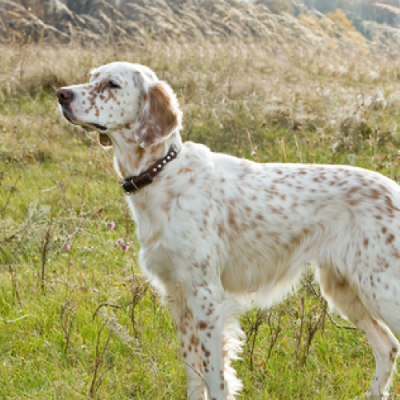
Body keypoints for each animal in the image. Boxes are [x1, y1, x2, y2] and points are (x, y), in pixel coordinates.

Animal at [57, 61, 400, 398]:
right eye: (92, 77)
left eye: (112, 84)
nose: (61, 94)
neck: (163, 174)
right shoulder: (178, 295)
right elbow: (193, 372)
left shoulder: (207, 295)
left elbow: (214, 375)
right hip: (344, 289)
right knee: (387, 346)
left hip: (380, 287)